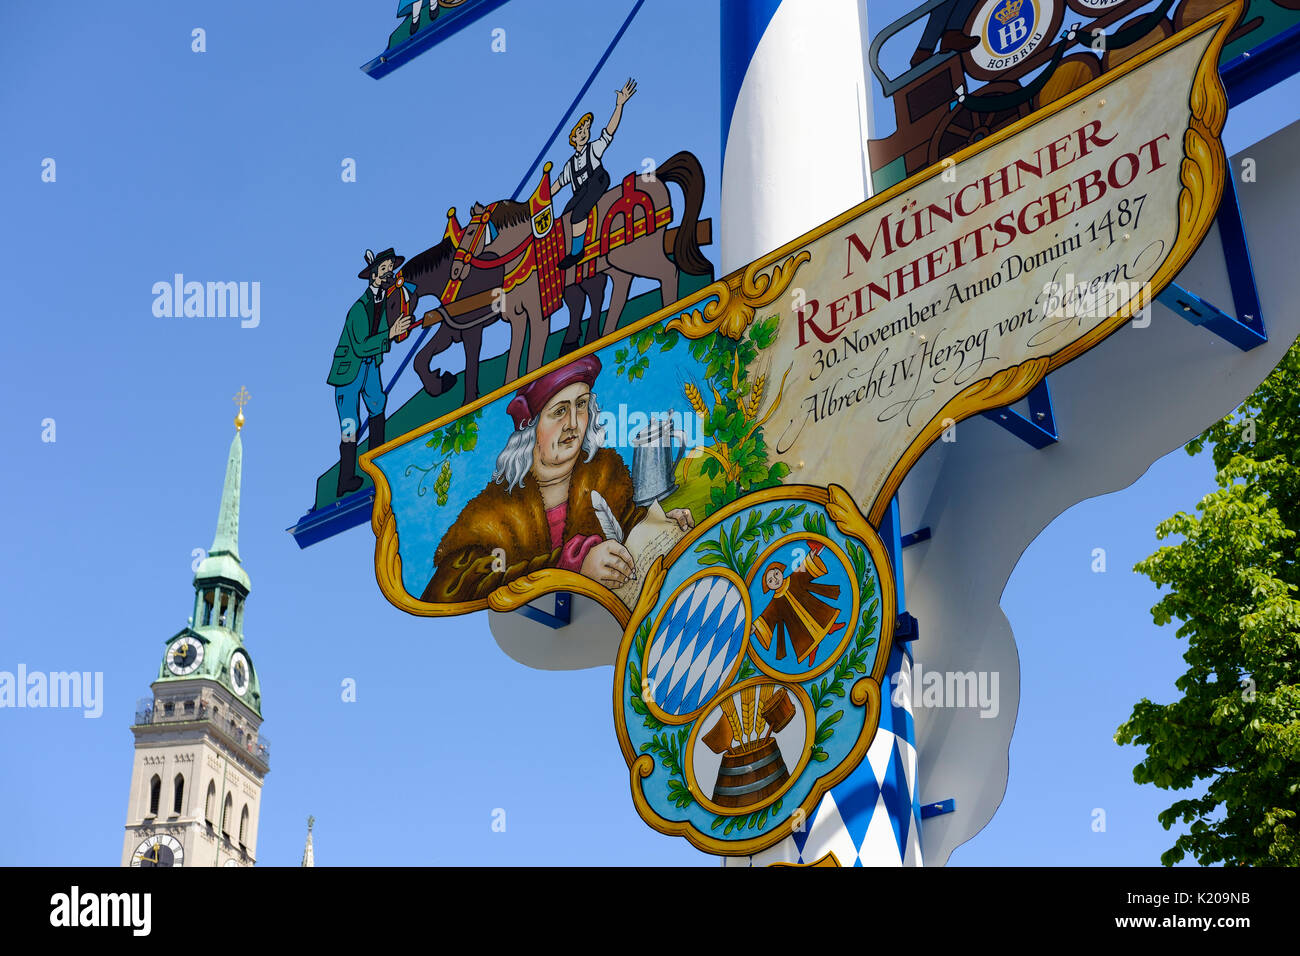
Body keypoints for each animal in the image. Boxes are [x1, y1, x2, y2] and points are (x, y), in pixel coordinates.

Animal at [449, 149, 712, 377]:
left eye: (470, 232)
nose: (455, 270)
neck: (523, 253)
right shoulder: (517, 316)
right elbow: (513, 359)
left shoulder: (538, 311)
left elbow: (534, 355)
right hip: (618, 262)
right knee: (621, 287)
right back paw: (608, 334)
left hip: (637, 252)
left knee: (669, 272)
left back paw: (666, 315)